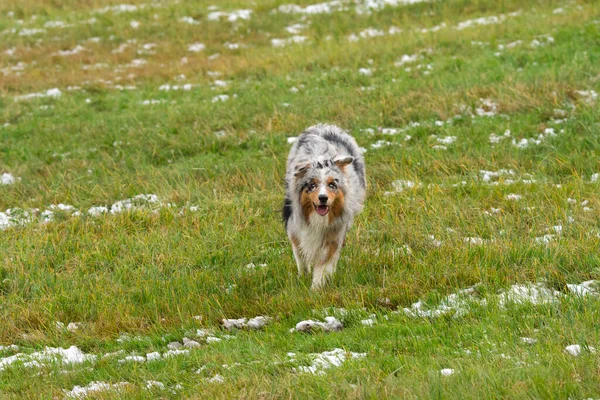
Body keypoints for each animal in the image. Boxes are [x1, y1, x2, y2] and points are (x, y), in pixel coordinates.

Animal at [282, 123, 366, 290]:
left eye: (332, 184)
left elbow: (324, 264)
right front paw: (303, 277)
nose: (323, 198)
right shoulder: (295, 231)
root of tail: (324, 125)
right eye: (312, 185)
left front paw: (316, 288)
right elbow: (301, 257)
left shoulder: (333, 234)